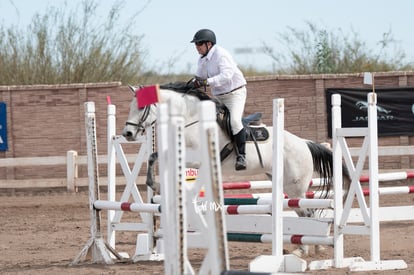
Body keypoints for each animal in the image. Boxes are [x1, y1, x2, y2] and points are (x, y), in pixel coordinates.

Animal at [122, 83, 350, 258]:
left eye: (141, 108)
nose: (127, 133)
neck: (190, 119)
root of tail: (304, 143)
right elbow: (153, 157)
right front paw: (154, 184)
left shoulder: (195, 157)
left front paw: (156, 184)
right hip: (284, 183)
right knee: (305, 213)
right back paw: (311, 246)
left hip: (295, 187)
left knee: (308, 212)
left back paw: (306, 248)